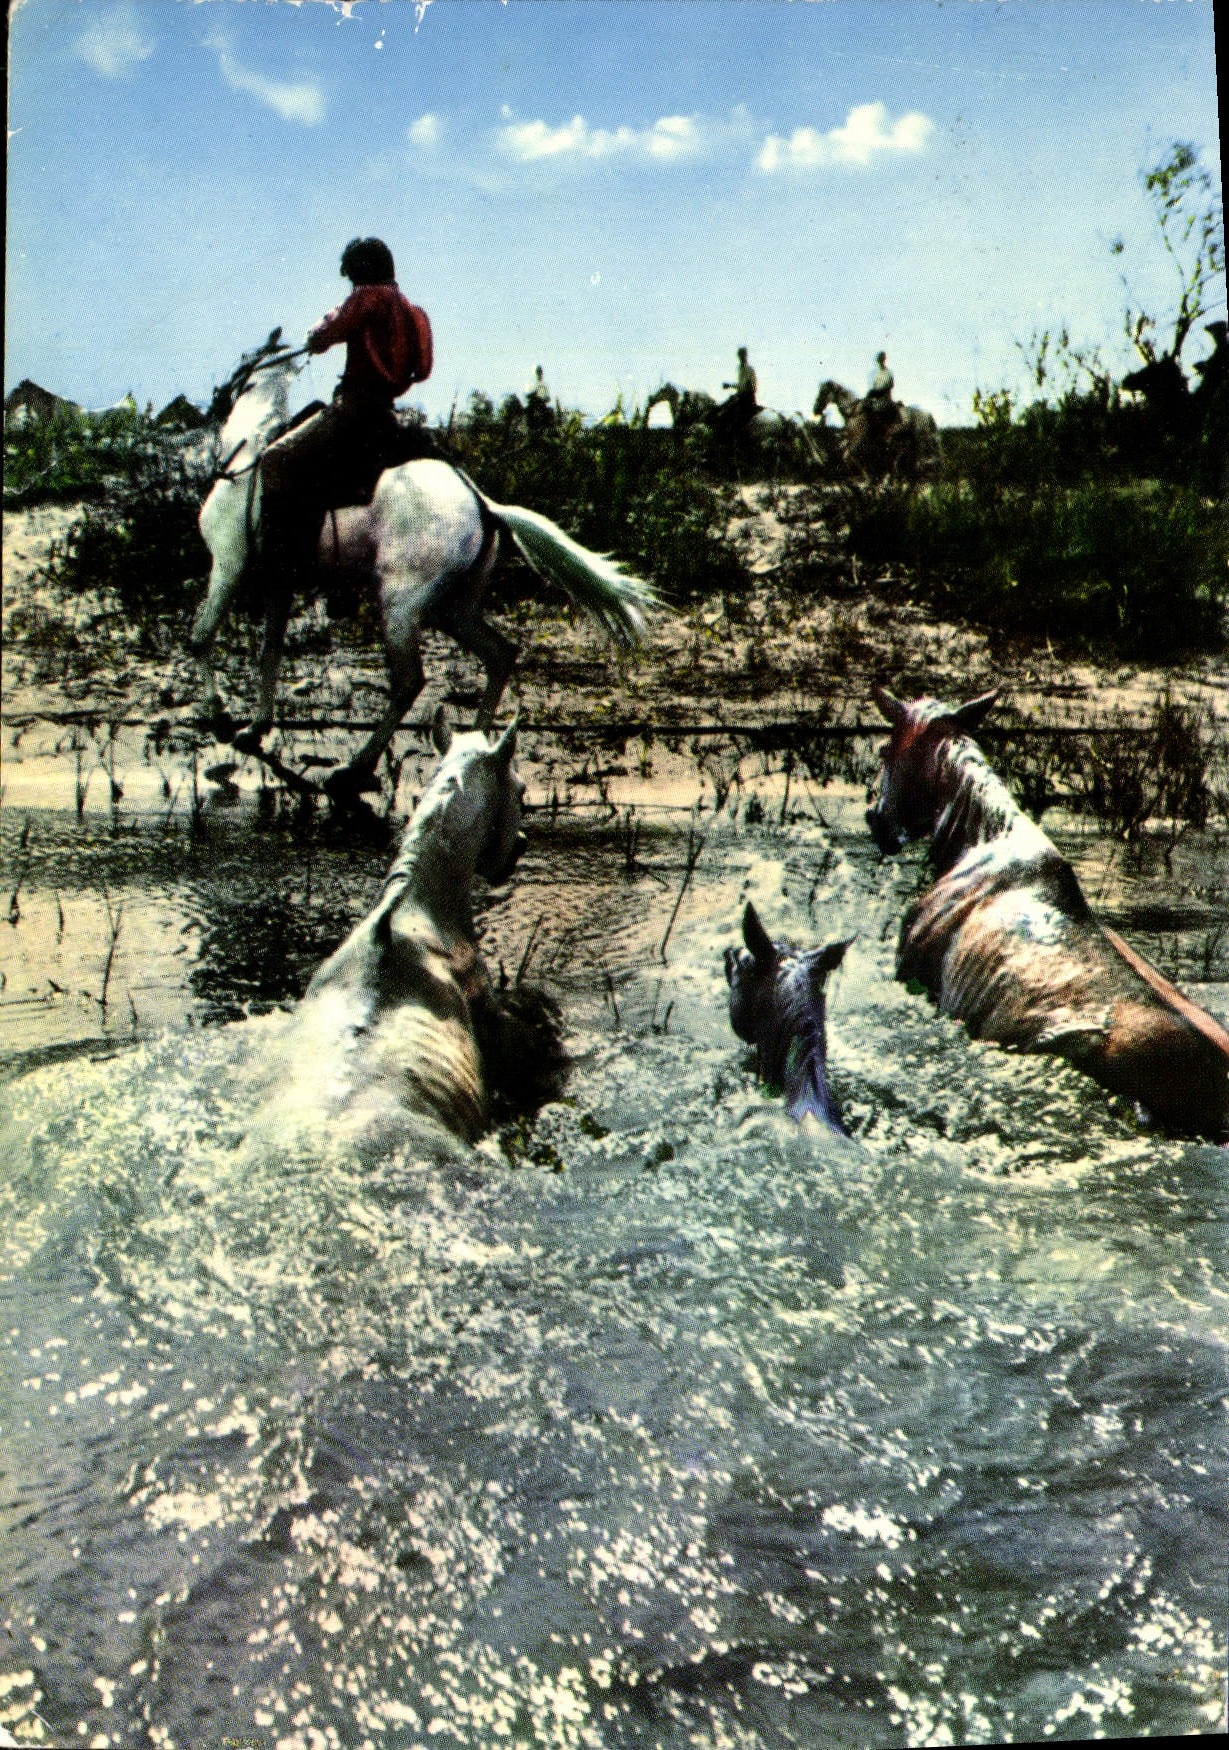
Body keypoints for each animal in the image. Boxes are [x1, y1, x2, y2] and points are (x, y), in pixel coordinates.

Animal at [189, 340, 656, 797]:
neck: (246, 457)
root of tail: (482, 504)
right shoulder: (278, 586)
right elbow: (270, 653)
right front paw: (254, 728)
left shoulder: (227, 567)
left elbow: (201, 639)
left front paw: (220, 717)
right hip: (453, 607)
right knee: (499, 655)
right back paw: (472, 753)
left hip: (400, 605)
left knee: (409, 681)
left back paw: (356, 768)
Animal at [812, 380, 941, 481]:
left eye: (823, 392)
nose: (816, 410)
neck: (853, 411)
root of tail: (927, 415)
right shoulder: (851, 439)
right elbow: (845, 454)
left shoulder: (859, 440)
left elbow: (851, 456)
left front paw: (866, 477)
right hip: (911, 440)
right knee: (911, 457)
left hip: (920, 440)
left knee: (922, 457)